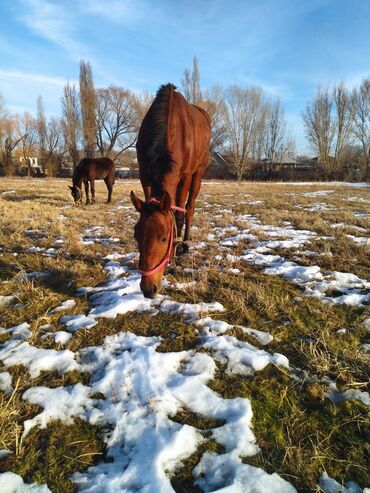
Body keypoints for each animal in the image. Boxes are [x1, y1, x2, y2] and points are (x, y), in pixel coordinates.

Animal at [130, 83, 211, 298]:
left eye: (164, 237)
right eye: (136, 235)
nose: (148, 289)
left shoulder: (185, 176)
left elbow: (179, 214)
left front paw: (177, 247)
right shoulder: (144, 174)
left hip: (198, 173)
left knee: (189, 208)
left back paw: (185, 242)